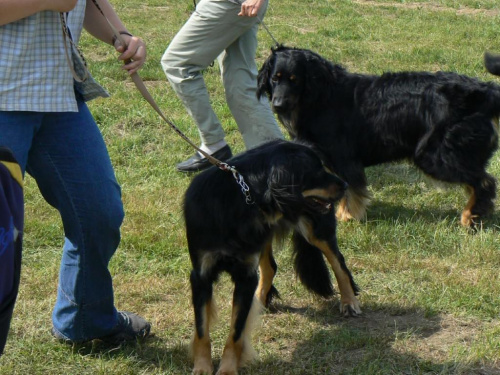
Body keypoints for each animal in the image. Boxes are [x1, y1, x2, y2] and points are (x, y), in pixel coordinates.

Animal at [184, 140, 360, 375]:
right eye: (316, 171)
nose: (346, 185)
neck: (240, 198)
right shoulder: (201, 274)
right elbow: (202, 328)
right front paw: (202, 367)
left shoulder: (245, 275)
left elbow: (236, 332)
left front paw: (228, 369)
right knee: (270, 267)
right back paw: (259, 301)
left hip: (317, 229)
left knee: (339, 263)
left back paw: (349, 302)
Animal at [258, 46, 500, 229]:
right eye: (275, 79)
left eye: (295, 80)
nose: (277, 104)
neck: (319, 96)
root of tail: (483, 91)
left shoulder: (345, 158)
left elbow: (350, 189)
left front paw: (346, 217)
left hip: (435, 154)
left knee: (485, 182)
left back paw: (470, 217)